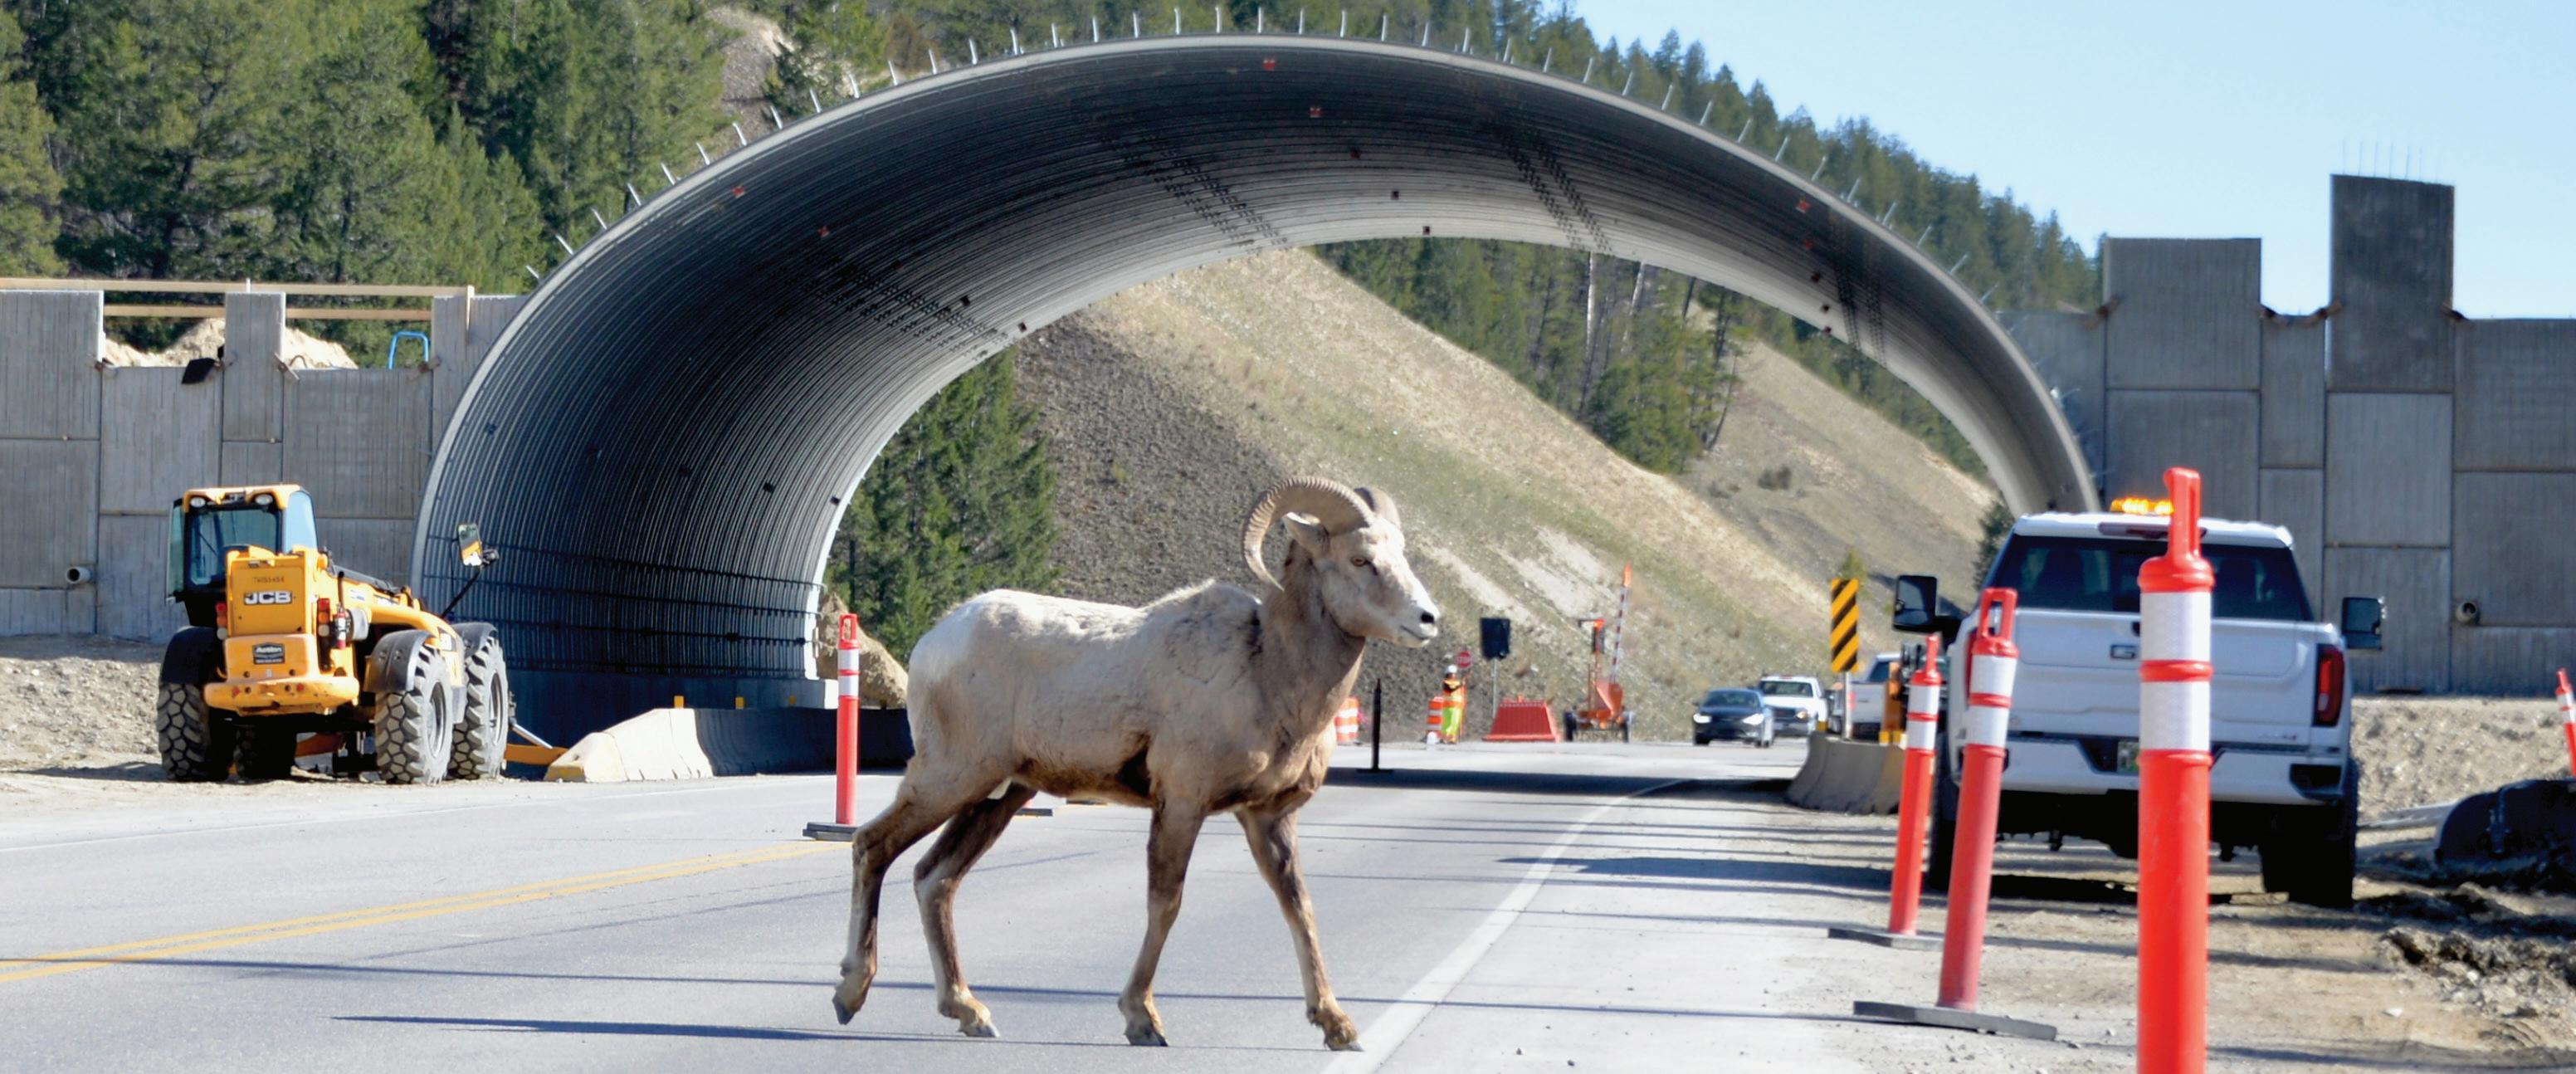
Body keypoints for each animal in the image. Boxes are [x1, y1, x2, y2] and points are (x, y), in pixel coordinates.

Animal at [830, 477, 1440, 1050]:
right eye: (1360, 559)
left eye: (1401, 555)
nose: (1427, 619)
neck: (1268, 671)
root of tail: (937, 639)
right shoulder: (1183, 804)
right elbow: (1165, 904)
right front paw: (1142, 1020)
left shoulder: (1269, 817)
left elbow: (1300, 908)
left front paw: (1337, 1026)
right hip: (950, 778)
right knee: (872, 846)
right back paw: (850, 996)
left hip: (998, 797)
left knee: (935, 880)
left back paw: (970, 1012)